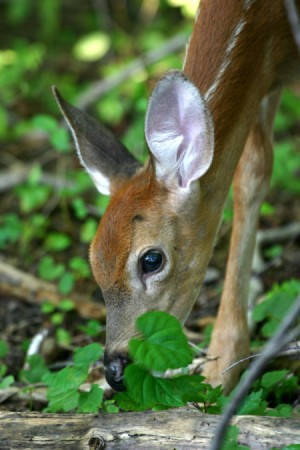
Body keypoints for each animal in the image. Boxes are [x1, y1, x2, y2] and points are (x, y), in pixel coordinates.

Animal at [54, 1, 300, 392]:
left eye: (151, 260)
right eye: (93, 262)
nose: (115, 371)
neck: (268, 21)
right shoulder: (266, 73)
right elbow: (252, 171)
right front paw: (222, 366)